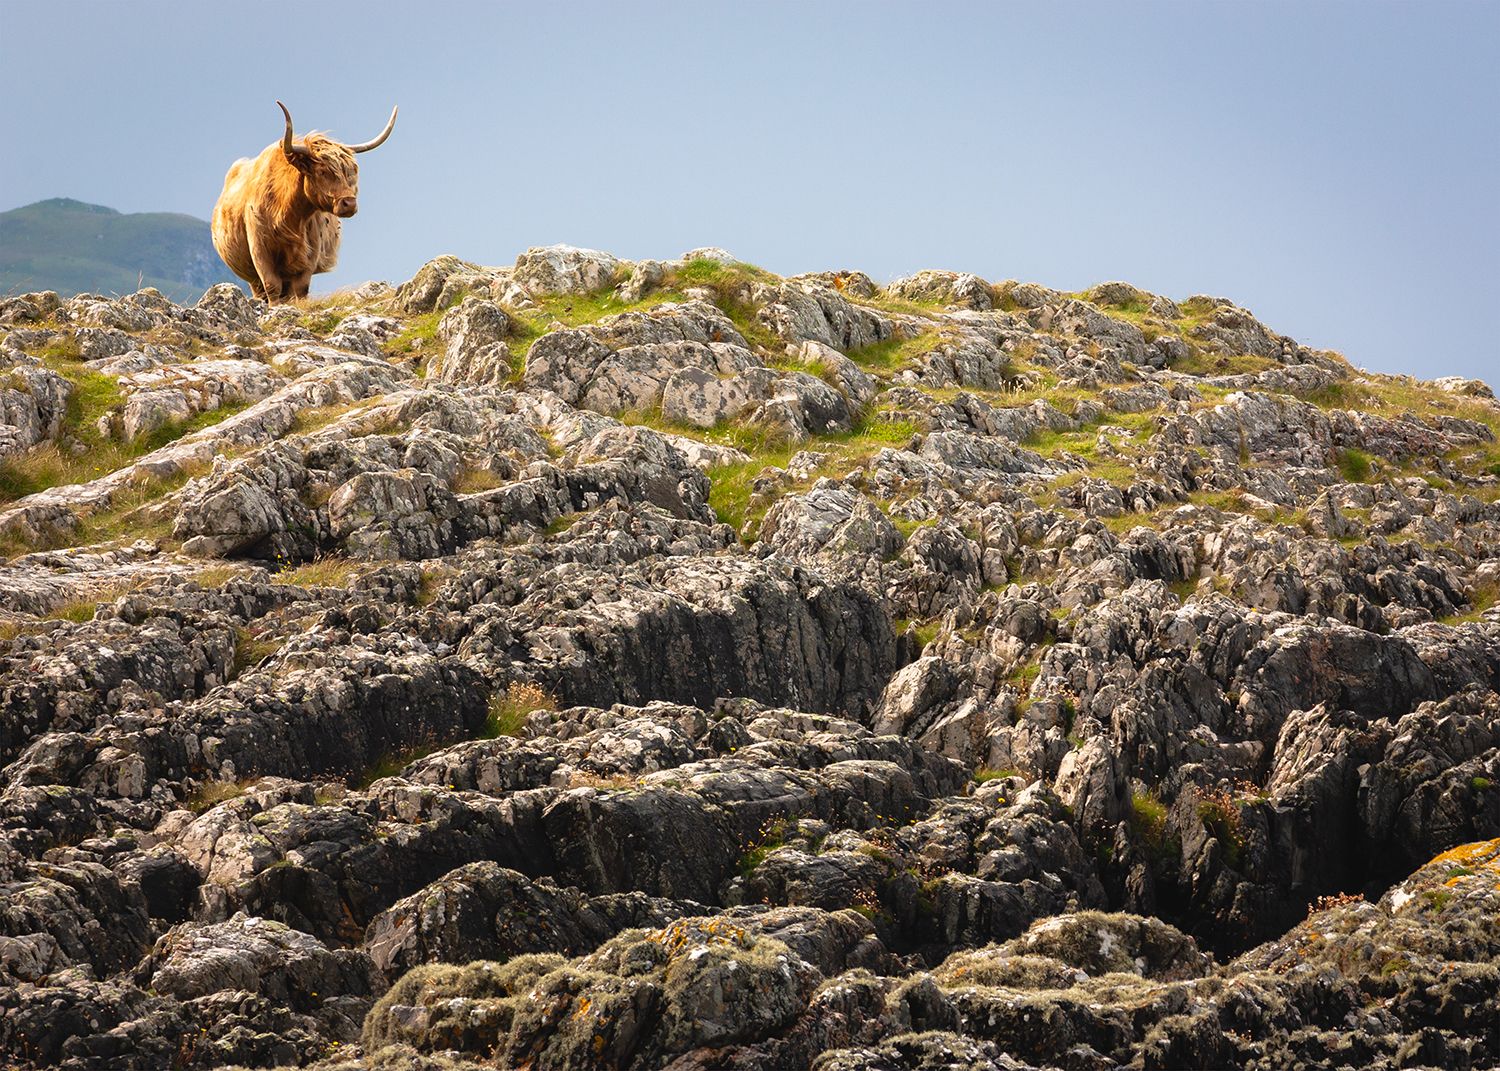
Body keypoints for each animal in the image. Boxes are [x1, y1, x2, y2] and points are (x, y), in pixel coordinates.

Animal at [211, 101, 397, 303]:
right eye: (322, 171)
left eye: (351, 172)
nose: (349, 203)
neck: (287, 214)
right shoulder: (259, 249)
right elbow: (272, 285)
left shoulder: (310, 254)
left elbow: (300, 289)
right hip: (251, 275)